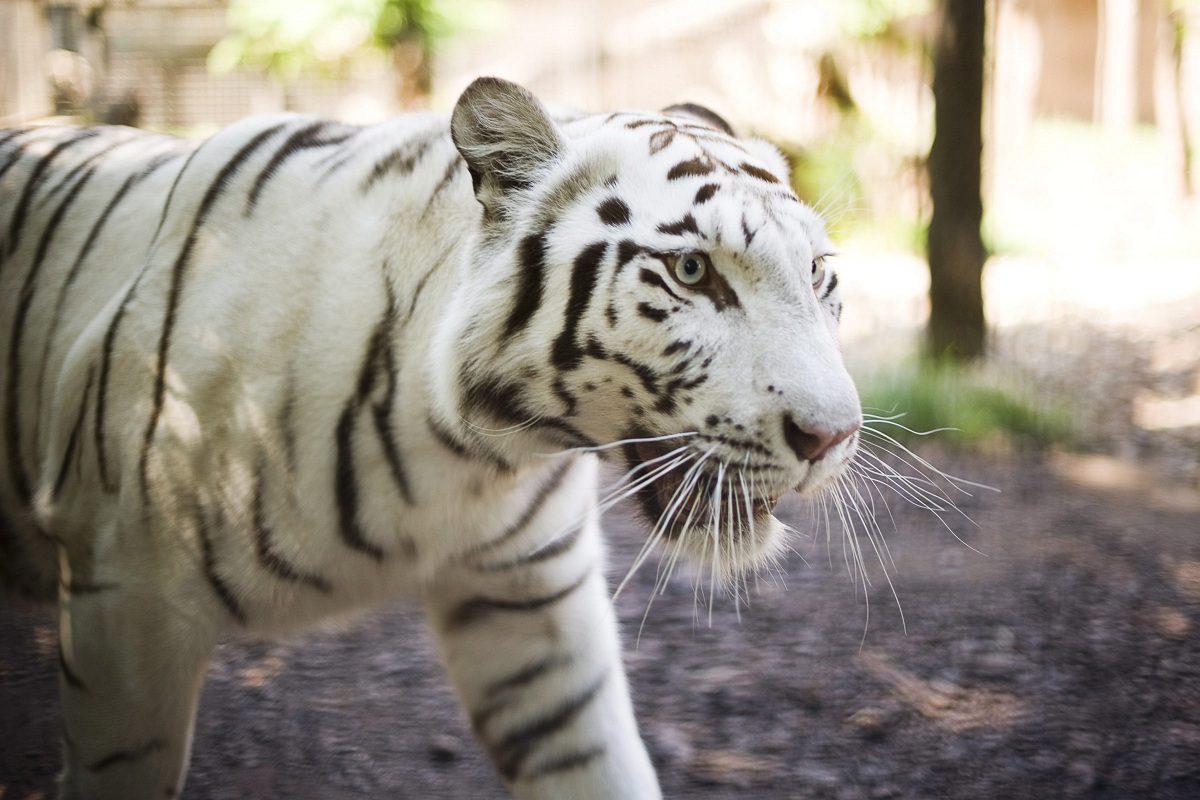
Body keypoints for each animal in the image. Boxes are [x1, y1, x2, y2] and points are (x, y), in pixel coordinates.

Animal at [0, 76, 864, 800]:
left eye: (821, 275)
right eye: (691, 272)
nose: (832, 437)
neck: (471, 459)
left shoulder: (532, 599)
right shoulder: (128, 601)